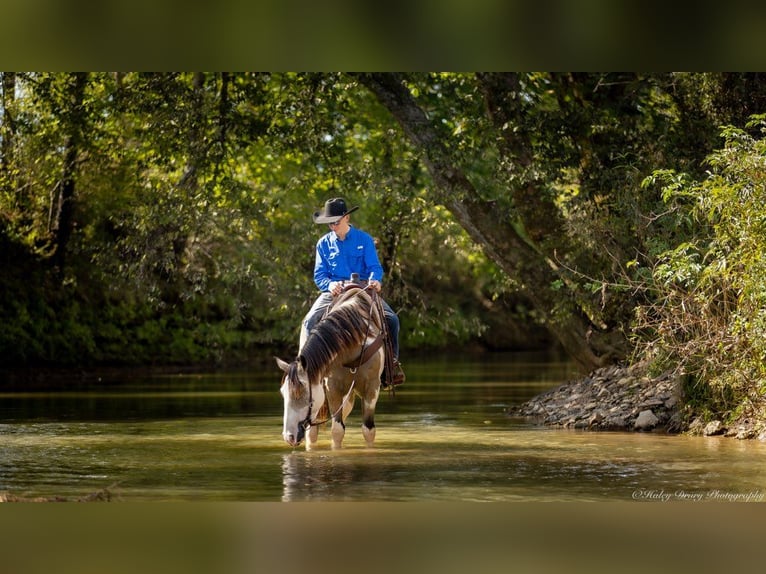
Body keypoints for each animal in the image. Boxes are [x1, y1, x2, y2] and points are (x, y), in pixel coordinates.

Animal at [276, 286, 388, 452]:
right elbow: (337, 430)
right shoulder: (332, 388)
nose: (288, 437)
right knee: (312, 431)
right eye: (283, 393)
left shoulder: (372, 388)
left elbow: (368, 430)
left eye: (300, 392)